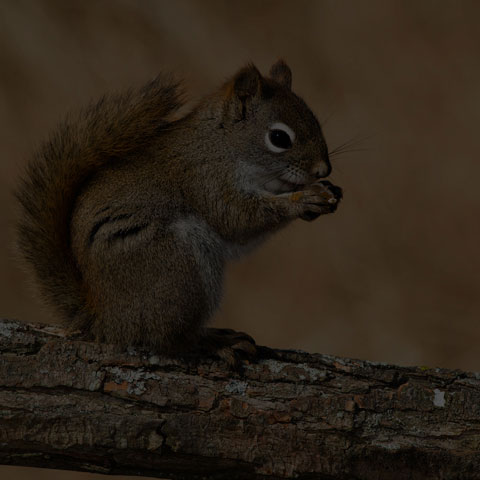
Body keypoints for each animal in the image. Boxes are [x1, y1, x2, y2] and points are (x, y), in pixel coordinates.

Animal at [15, 61, 344, 368]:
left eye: (315, 119)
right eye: (279, 137)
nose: (323, 170)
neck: (221, 144)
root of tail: (106, 319)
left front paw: (326, 192)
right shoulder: (206, 180)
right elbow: (237, 219)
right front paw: (303, 200)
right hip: (175, 266)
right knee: (169, 339)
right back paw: (212, 343)